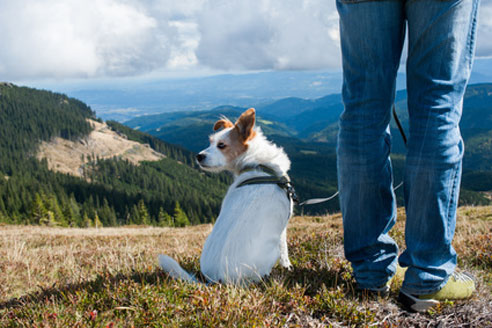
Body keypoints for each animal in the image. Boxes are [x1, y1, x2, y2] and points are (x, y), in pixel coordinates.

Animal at [160, 107, 294, 284]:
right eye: (210, 141)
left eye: (221, 145)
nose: (198, 156)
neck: (258, 166)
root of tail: (216, 280)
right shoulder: (283, 227)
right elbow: (285, 251)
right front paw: (288, 266)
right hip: (270, 254)